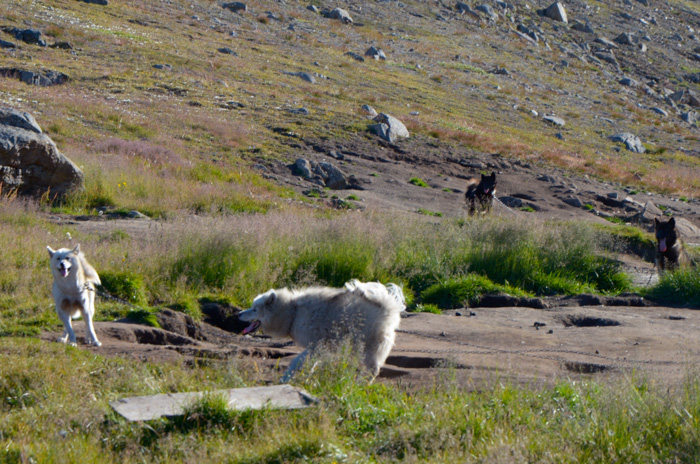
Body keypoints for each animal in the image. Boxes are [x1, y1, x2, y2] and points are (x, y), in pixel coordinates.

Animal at [239, 280, 404, 380]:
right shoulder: (319, 349)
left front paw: (285, 378)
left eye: (254, 309)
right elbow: (309, 364)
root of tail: (388, 305)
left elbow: (295, 361)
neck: (292, 313)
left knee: (373, 370)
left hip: (365, 347)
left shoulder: (315, 345)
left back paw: (360, 384)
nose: (238, 314)